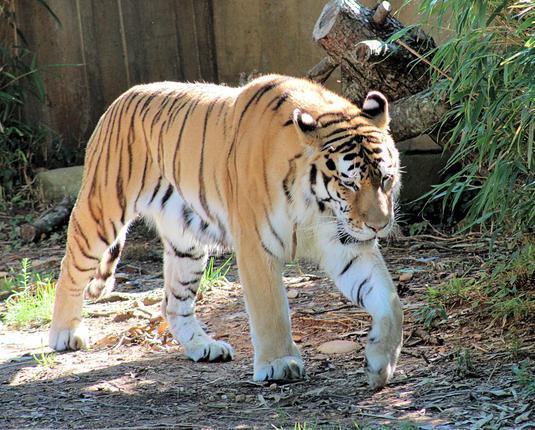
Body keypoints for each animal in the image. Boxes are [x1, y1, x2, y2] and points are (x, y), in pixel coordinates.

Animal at [49, 74, 402, 390]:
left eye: (385, 178)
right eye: (349, 183)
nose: (379, 225)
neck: (317, 207)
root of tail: (121, 99)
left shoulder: (345, 243)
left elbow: (389, 300)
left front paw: (379, 361)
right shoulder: (257, 245)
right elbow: (270, 310)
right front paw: (279, 363)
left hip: (187, 245)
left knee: (173, 302)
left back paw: (202, 347)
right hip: (101, 211)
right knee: (70, 269)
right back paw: (64, 334)